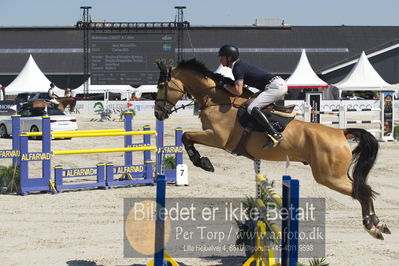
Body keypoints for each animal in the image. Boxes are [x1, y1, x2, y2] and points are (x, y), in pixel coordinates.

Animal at [155, 59, 392, 240]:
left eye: (161, 86)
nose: (158, 113)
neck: (215, 100)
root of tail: (341, 133)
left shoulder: (216, 137)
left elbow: (186, 136)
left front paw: (202, 162)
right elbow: (186, 136)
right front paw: (202, 161)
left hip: (329, 176)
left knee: (362, 191)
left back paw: (372, 226)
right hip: (334, 174)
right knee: (363, 188)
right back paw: (378, 224)